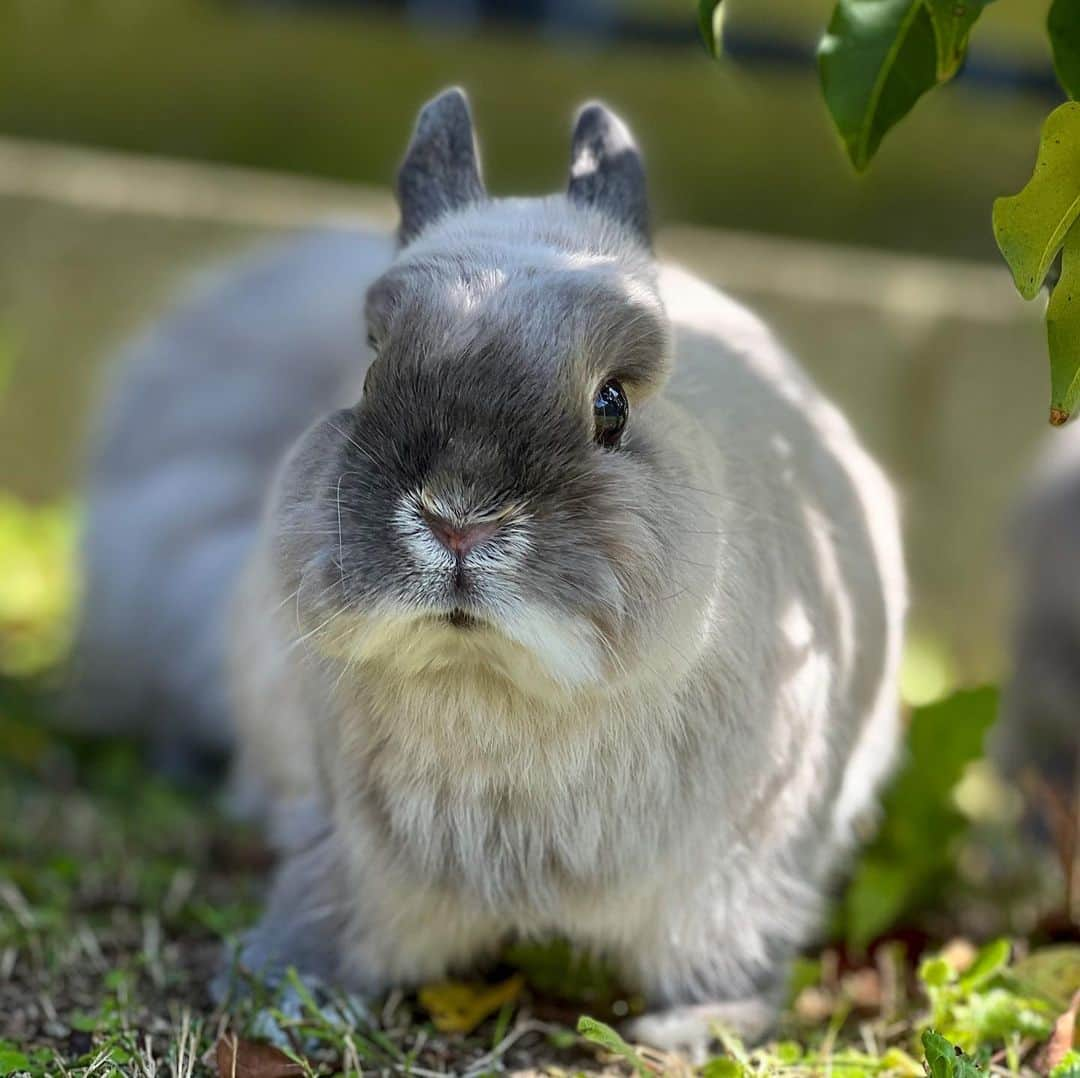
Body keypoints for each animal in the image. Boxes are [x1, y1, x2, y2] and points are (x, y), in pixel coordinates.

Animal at [79, 90, 902, 1054]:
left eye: (613, 406)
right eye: (370, 368)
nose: (457, 520)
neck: (491, 684)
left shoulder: (736, 874)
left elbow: (726, 954)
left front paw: (692, 1028)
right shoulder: (349, 853)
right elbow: (327, 913)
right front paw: (279, 989)